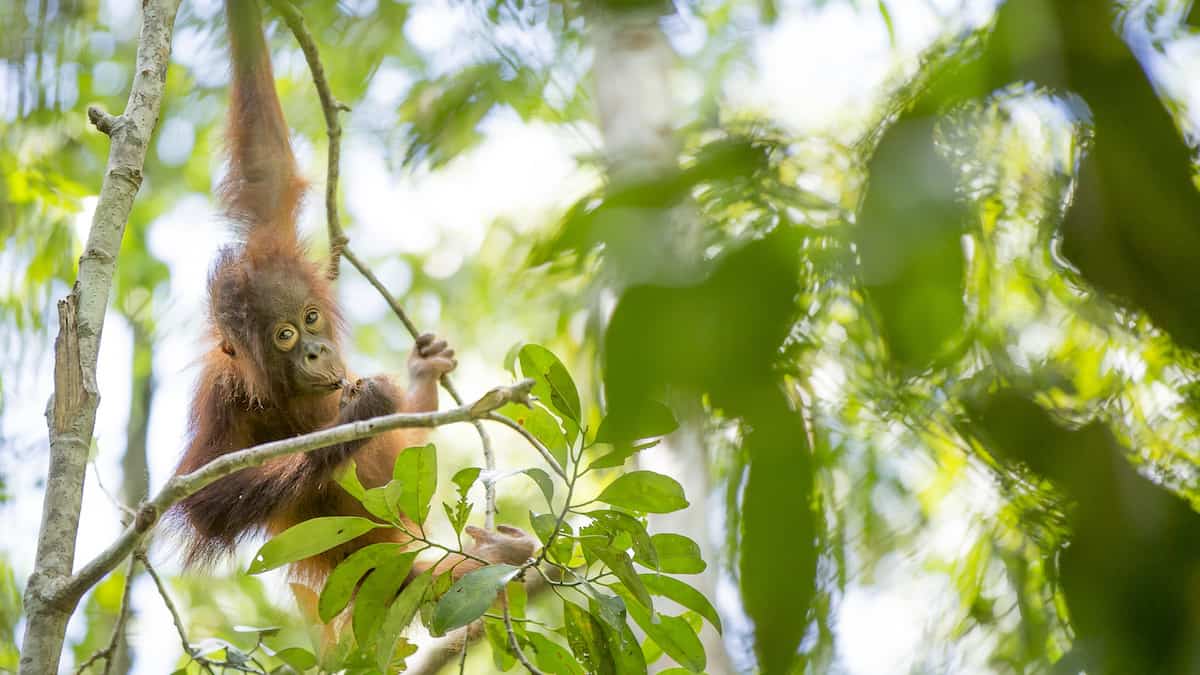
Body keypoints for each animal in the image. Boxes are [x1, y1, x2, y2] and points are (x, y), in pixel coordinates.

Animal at [168, 0, 535, 590]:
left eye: (311, 317)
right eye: (286, 335)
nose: (317, 351)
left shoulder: (270, 246)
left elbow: (266, 173)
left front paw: (247, 13)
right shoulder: (220, 395)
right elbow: (205, 498)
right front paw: (357, 414)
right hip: (378, 578)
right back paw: (504, 556)